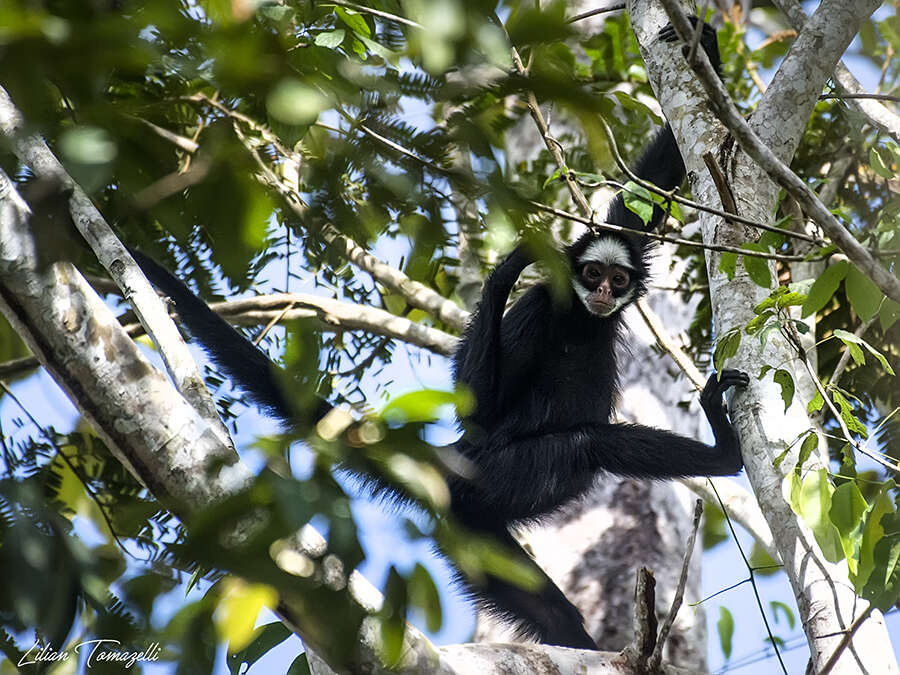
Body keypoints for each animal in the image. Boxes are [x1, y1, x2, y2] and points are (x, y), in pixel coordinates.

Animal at [130, 21, 748, 652]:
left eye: (618, 279)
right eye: (592, 274)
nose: (602, 291)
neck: (580, 318)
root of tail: (449, 461)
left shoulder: (619, 243)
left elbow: (645, 193)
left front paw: (704, 42)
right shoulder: (540, 308)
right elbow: (482, 407)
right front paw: (505, 270)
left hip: (473, 526)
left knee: (547, 605)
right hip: (495, 476)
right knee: (588, 443)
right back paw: (724, 455)